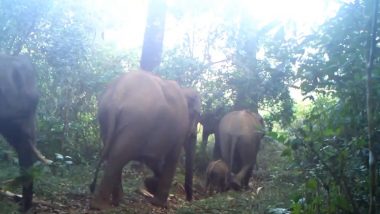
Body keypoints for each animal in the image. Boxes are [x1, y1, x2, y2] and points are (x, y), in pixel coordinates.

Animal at [90, 70, 202, 209]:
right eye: (197, 115)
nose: (189, 200)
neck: (184, 90)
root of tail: (117, 95)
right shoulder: (179, 128)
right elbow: (172, 158)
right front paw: (160, 204)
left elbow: (152, 159)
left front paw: (151, 184)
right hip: (135, 123)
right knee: (118, 156)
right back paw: (101, 205)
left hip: (105, 119)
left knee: (112, 153)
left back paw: (117, 201)